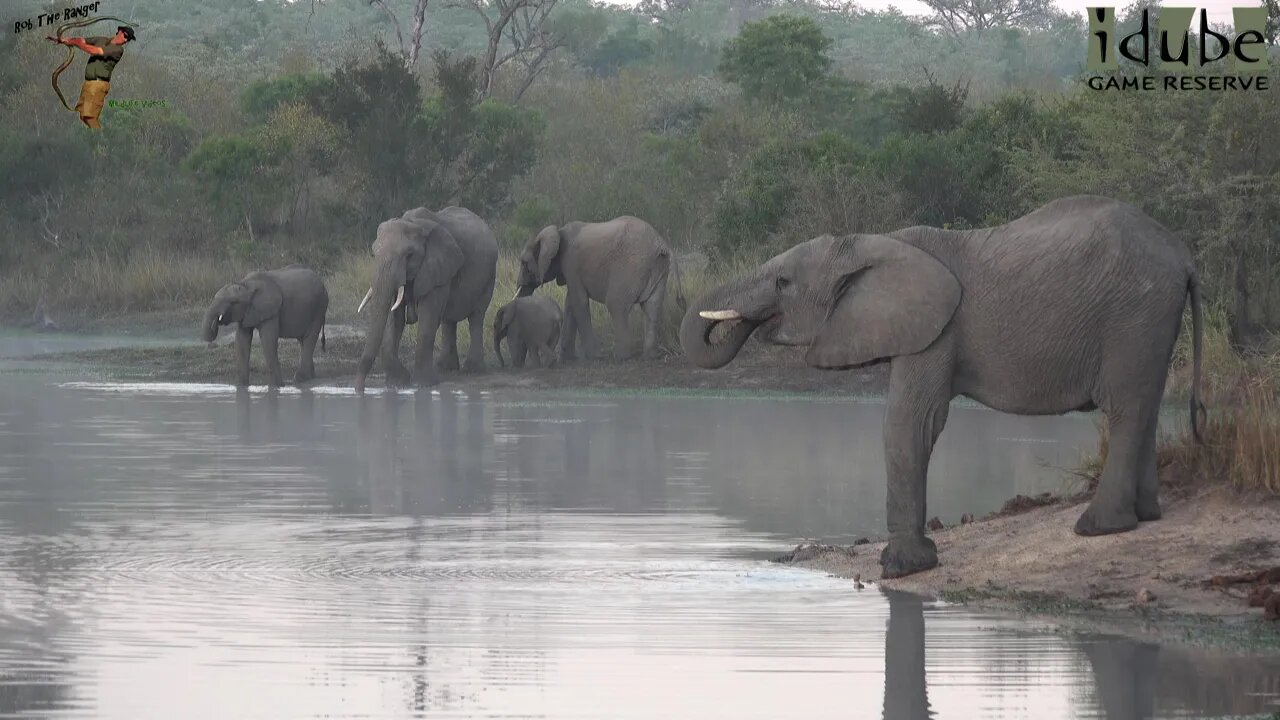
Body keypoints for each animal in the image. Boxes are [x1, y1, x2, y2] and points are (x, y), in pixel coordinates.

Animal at [200, 263, 330, 386]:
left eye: (234, 302)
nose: (216, 321)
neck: (246, 284)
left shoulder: (271, 310)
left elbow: (268, 340)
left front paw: (277, 386)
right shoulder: (247, 312)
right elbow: (242, 341)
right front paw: (242, 386)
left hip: (319, 308)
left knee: (309, 338)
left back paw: (300, 379)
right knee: (302, 340)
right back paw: (309, 377)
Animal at [358, 202, 501, 392]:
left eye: (409, 255)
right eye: (373, 254)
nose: (359, 389)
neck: (413, 223)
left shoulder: (438, 268)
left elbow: (428, 316)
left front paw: (422, 384)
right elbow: (395, 318)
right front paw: (397, 383)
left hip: (489, 276)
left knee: (476, 318)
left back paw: (472, 370)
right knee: (449, 321)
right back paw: (446, 368)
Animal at [514, 212, 686, 358]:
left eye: (524, 263)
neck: (557, 232)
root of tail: (661, 243)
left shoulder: (571, 263)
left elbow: (579, 301)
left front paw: (593, 357)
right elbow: (570, 302)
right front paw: (568, 359)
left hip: (631, 266)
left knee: (615, 303)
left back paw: (620, 357)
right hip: (659, 269)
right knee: (652, 307)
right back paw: (649, 356)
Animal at [686, 194, 1203, 576]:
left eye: (782, 281)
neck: (873, 244)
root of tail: (1183, 255)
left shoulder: (936, 330)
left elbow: (910, 423)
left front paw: (902, 568)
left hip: (1132, 312)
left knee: (1126, 406)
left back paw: (1097, 529)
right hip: (1150, 317)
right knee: (1147, 402)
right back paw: (1145, 517)